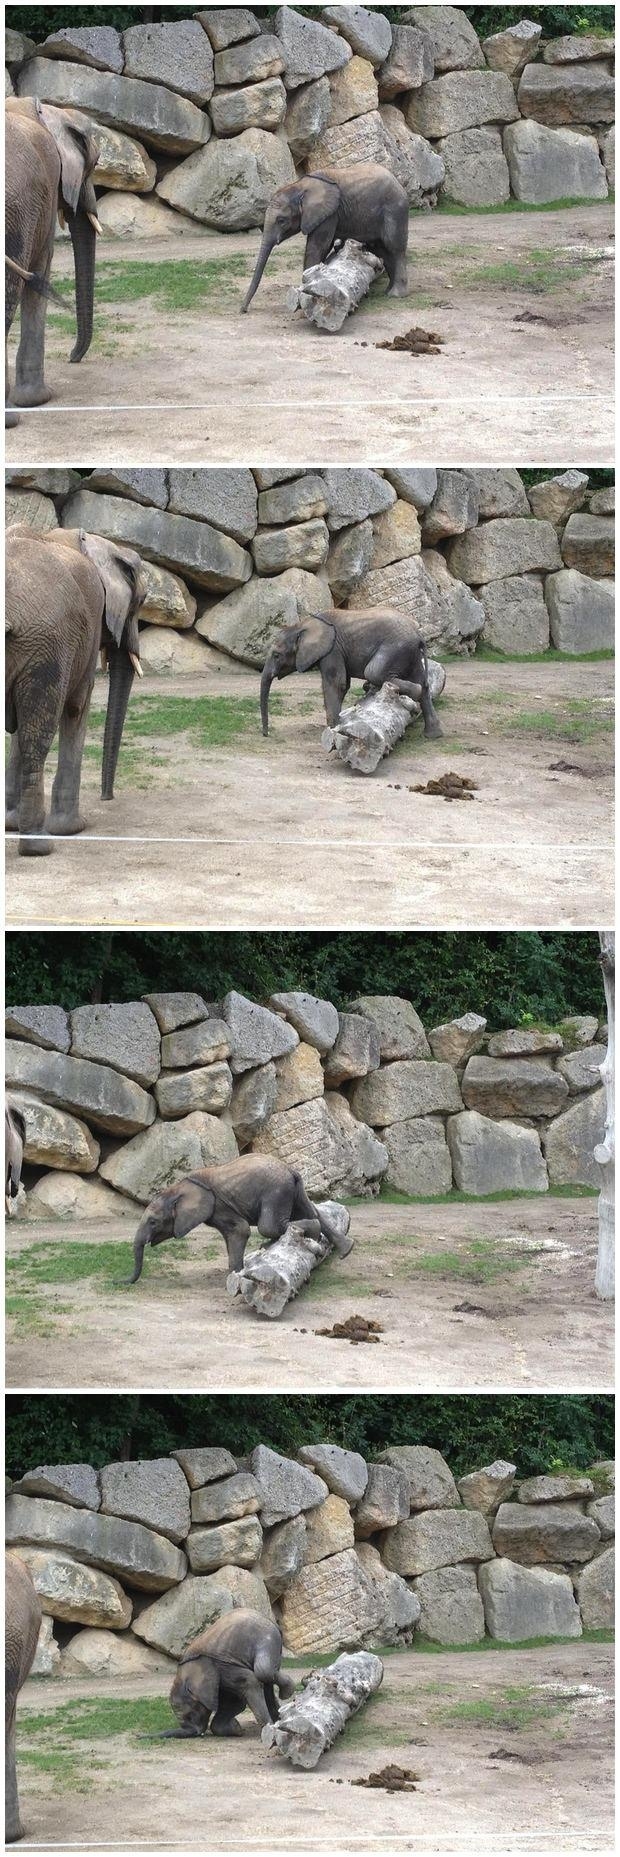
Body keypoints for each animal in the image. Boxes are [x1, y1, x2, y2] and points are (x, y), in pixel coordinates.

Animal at [6, 525, 147, 856]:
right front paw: (72, 829)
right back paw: (38, 845)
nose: (107, 798)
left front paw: (9, 822)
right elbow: (76, 706)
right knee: (37, 735)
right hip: (46, 641)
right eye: (141, 602)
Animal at [124, 1153, 354, 1285]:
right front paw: (238, 1274)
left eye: (153, 1222)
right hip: (293, 1190)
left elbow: (240, 1230)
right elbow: (230, 1236)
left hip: (276, 1192)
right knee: (312, 1212)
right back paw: (345, 1250)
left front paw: (235, 1277)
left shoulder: (218, 1206)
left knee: (268, 1226)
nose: (122, 1282)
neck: (177, 1188)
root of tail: (291, 1170)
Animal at [155, 1611, 295, 1740]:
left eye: (190, 1714)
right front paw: (237, 1729)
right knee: (266, 1681)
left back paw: (286, 1693)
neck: (184, 1673)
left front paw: (268, 1732)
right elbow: (234, 1702)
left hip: (267, 1637)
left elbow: (249, 1683)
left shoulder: (221, 1667)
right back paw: (279, 1717)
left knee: (263, 1670)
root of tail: (269, 1619)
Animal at [240, 161, 409, 313]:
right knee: (383, 250)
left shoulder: (329, 214)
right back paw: (388, 291)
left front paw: (305, 295)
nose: (243, 310)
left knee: (394, 248)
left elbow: (317, 247)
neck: (300, 186)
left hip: (394, 209)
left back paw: (396, 294)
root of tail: (398, 183)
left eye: (281, 221)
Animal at [260, 606, 442, 739]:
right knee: (423, 683)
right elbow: (343, 685)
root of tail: (419, 634)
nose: (266, 734)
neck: (302, 625)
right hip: (411, 654)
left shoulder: (332, 649)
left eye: (276, 655)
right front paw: (337, 727)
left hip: (396, 648)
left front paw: (333, 729)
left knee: (374, 673)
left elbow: (336, 684)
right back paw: (433, 735)